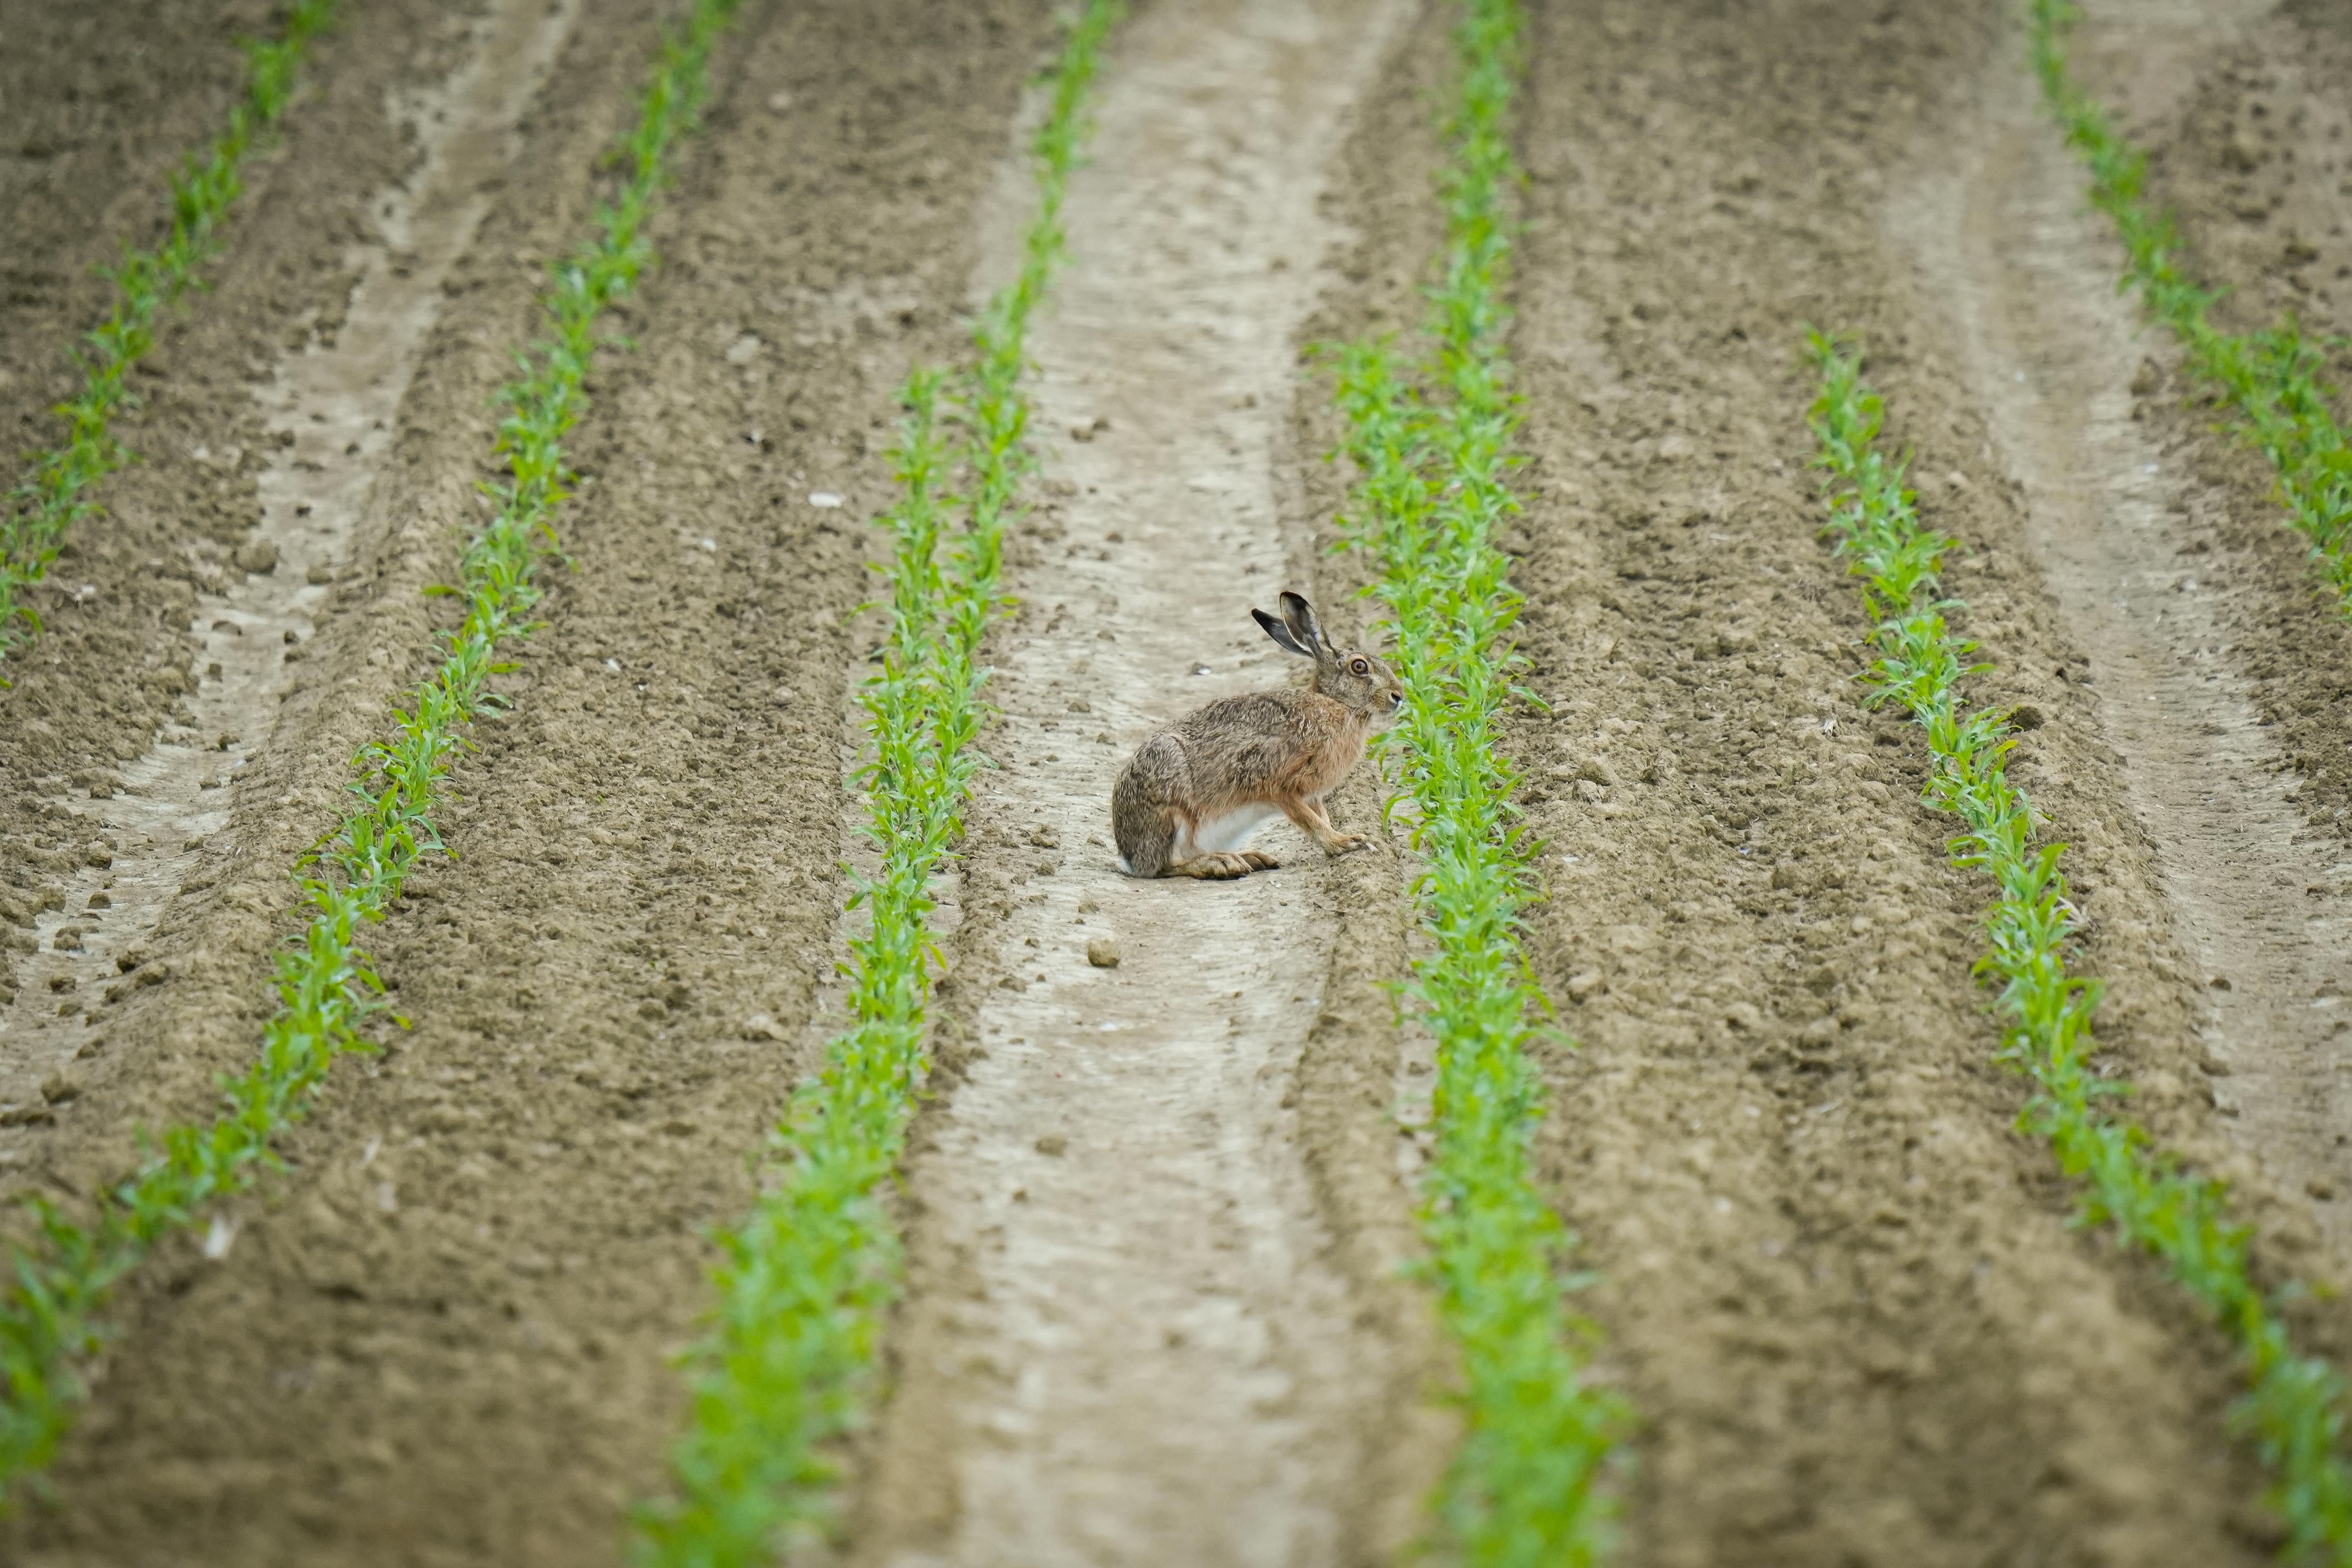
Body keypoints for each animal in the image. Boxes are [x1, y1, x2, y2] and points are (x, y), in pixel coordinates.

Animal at [1112, 591, 1405, 880]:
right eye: (1359, 667)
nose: (1399, 696)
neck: (1337, 704)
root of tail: (1130, 857)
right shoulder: (1278, 784)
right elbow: (1310, 821)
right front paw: (1345, 843)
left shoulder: (1312, 795)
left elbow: (1322, 817)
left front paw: (1342, 838)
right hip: (1171, 808)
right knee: (1167, 865)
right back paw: (1221, 864)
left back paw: (1249, 857)